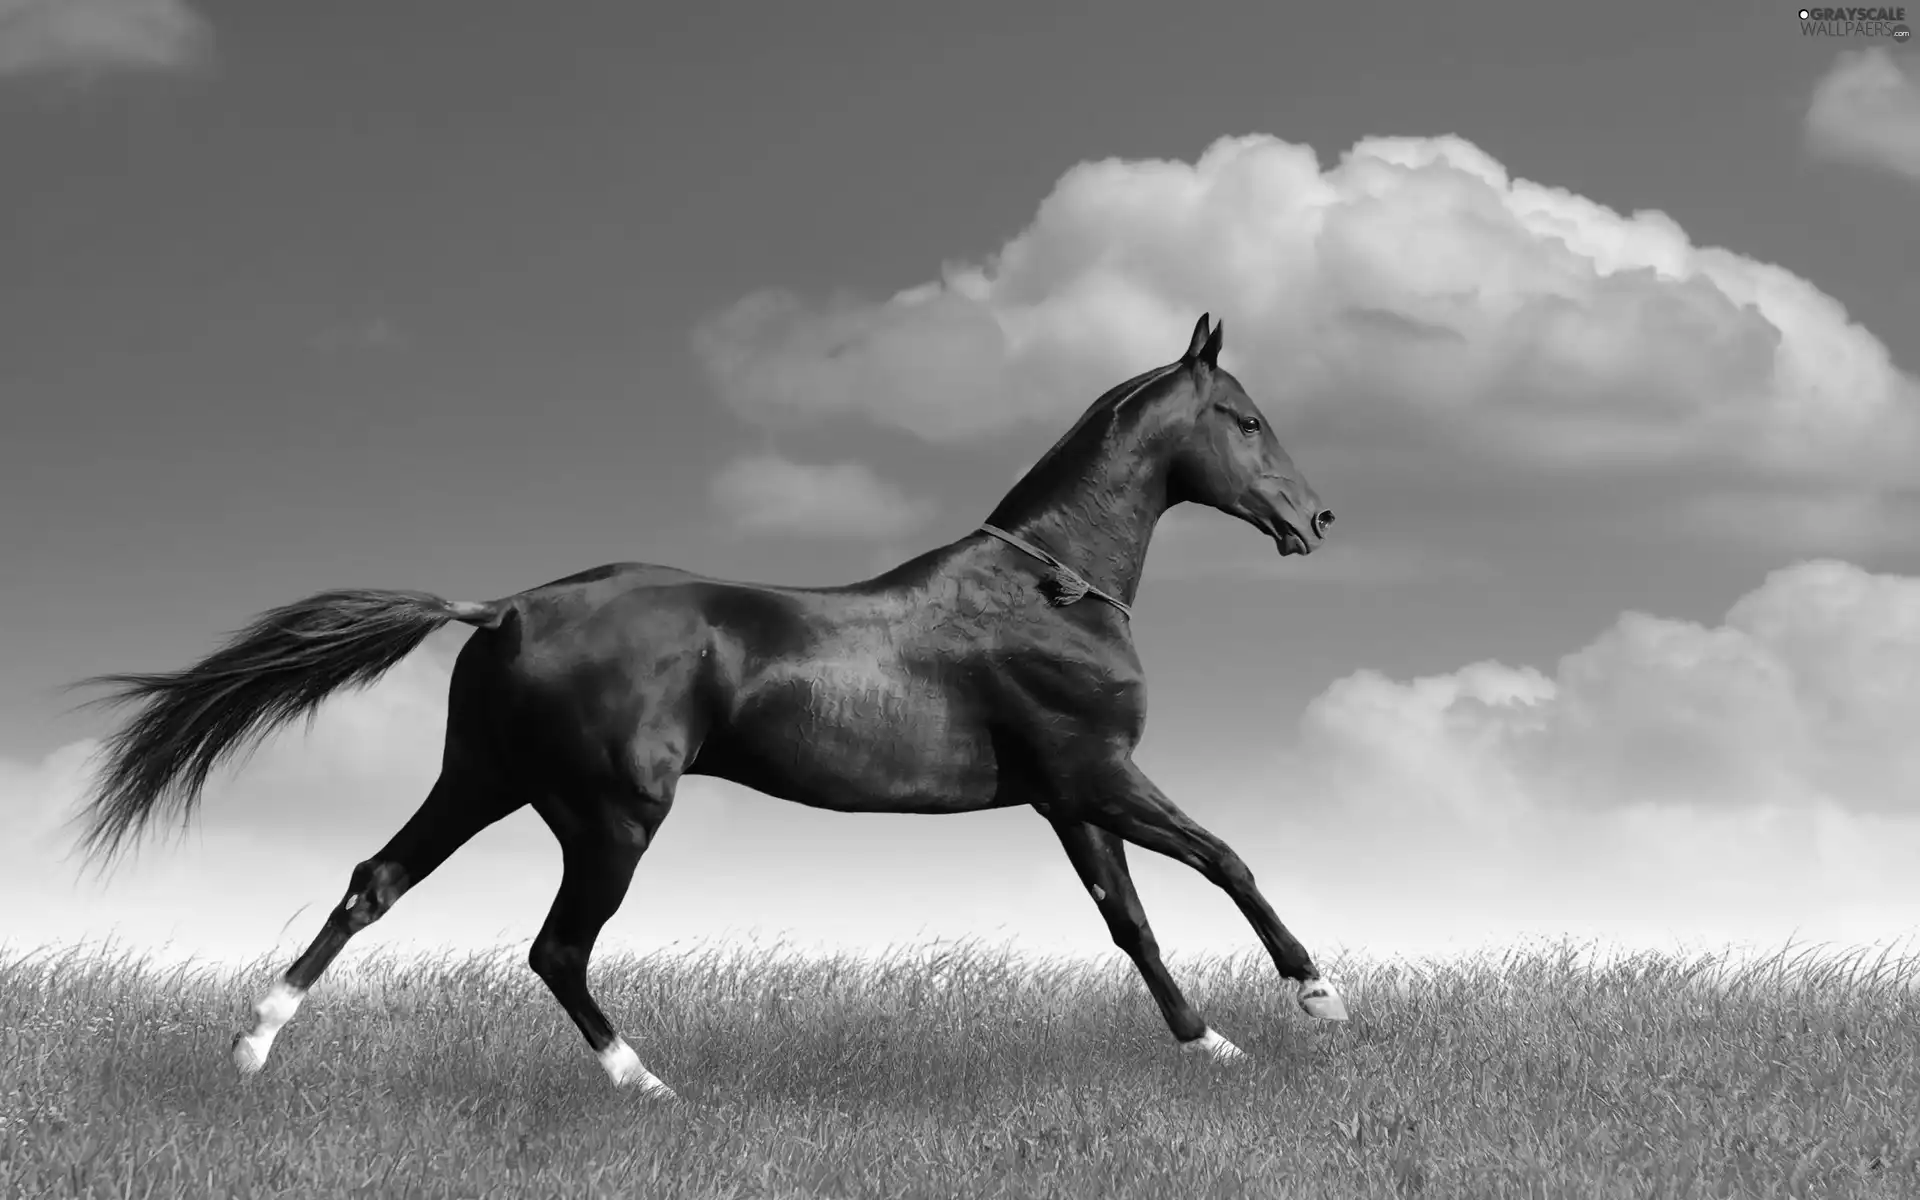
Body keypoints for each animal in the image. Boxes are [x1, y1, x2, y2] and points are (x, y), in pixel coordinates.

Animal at [67, 312, 1344, 1098]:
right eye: (1245, 418)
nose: (1316, 520)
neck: (1050, 587)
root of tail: (505, 610)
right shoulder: (1098, 775)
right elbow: (1226, 860)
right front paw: (1319, 999)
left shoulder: (1066, 796)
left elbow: (1131, 924)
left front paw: (1213, 1045)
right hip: (611, 816)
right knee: (555, 948)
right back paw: (649, 1086)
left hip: (483, 782)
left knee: (375, 884)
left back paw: (250, 1045)